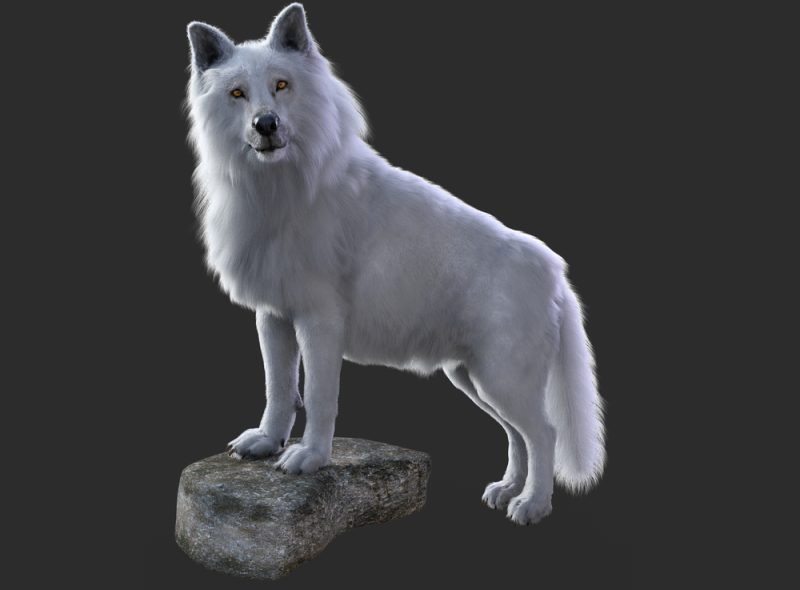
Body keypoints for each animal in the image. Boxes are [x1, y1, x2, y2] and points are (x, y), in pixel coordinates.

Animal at [185, 3, 605, 525]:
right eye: (237, 93)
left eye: (282, 85)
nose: (266, 124)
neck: (281, 191)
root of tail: (555, 272)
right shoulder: (274, 317)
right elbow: (279, 390)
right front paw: (266, 442)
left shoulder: (319, 323)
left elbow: (319, 397)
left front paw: (310, 457)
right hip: (474, 380)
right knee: (517, 435)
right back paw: (507, 489)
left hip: (500, 379)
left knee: (543, 434)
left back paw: (531, 505)